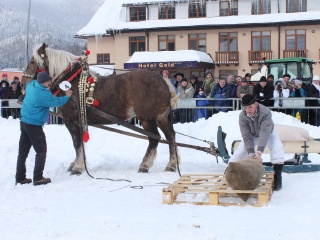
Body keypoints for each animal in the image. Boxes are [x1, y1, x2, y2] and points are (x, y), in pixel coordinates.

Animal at [21, 43, 180, 174]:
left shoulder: (72, 122)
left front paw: (78, 167)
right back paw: (171, 164)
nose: (23, 84)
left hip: (147, 118)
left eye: (32, 62)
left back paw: (145, 165)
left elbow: (77, 144)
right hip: (161, 117)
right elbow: (80, 145)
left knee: (154, 138)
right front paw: (77, 164)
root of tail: (162, 80)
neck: (70, 82)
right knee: (170, 136)